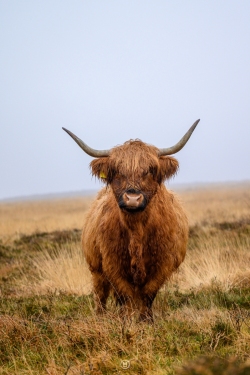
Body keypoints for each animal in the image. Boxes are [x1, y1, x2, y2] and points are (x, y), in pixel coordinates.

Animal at [62, 119, 199, 320]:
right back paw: (101, 317)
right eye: (117, 171)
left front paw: (145, 320)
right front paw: (126, 321)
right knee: (100, 295)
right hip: (96, 269)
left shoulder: (162, 265)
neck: (137, 231)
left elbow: (148, 294)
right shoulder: (112, 265)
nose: (133, 198)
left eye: (150, 170)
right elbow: (124, 295)